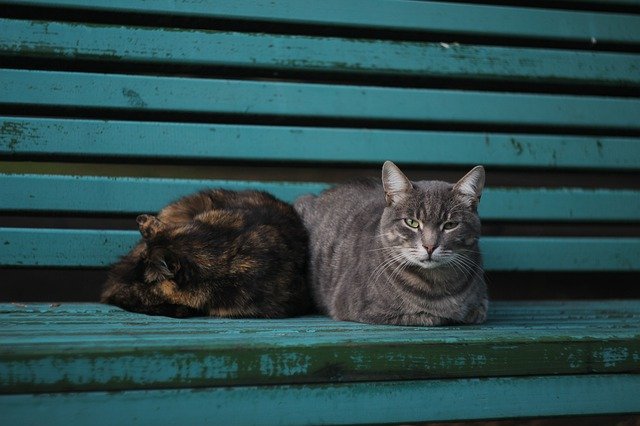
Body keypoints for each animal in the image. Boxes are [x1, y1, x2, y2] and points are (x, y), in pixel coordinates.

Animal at [296, 162, 490, 326]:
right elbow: (427, 317)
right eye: (411, 222)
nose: (430, 246)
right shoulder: (364, 309)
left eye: (450, 225)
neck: (439, 282)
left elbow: (477, 311)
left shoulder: (482, 303)